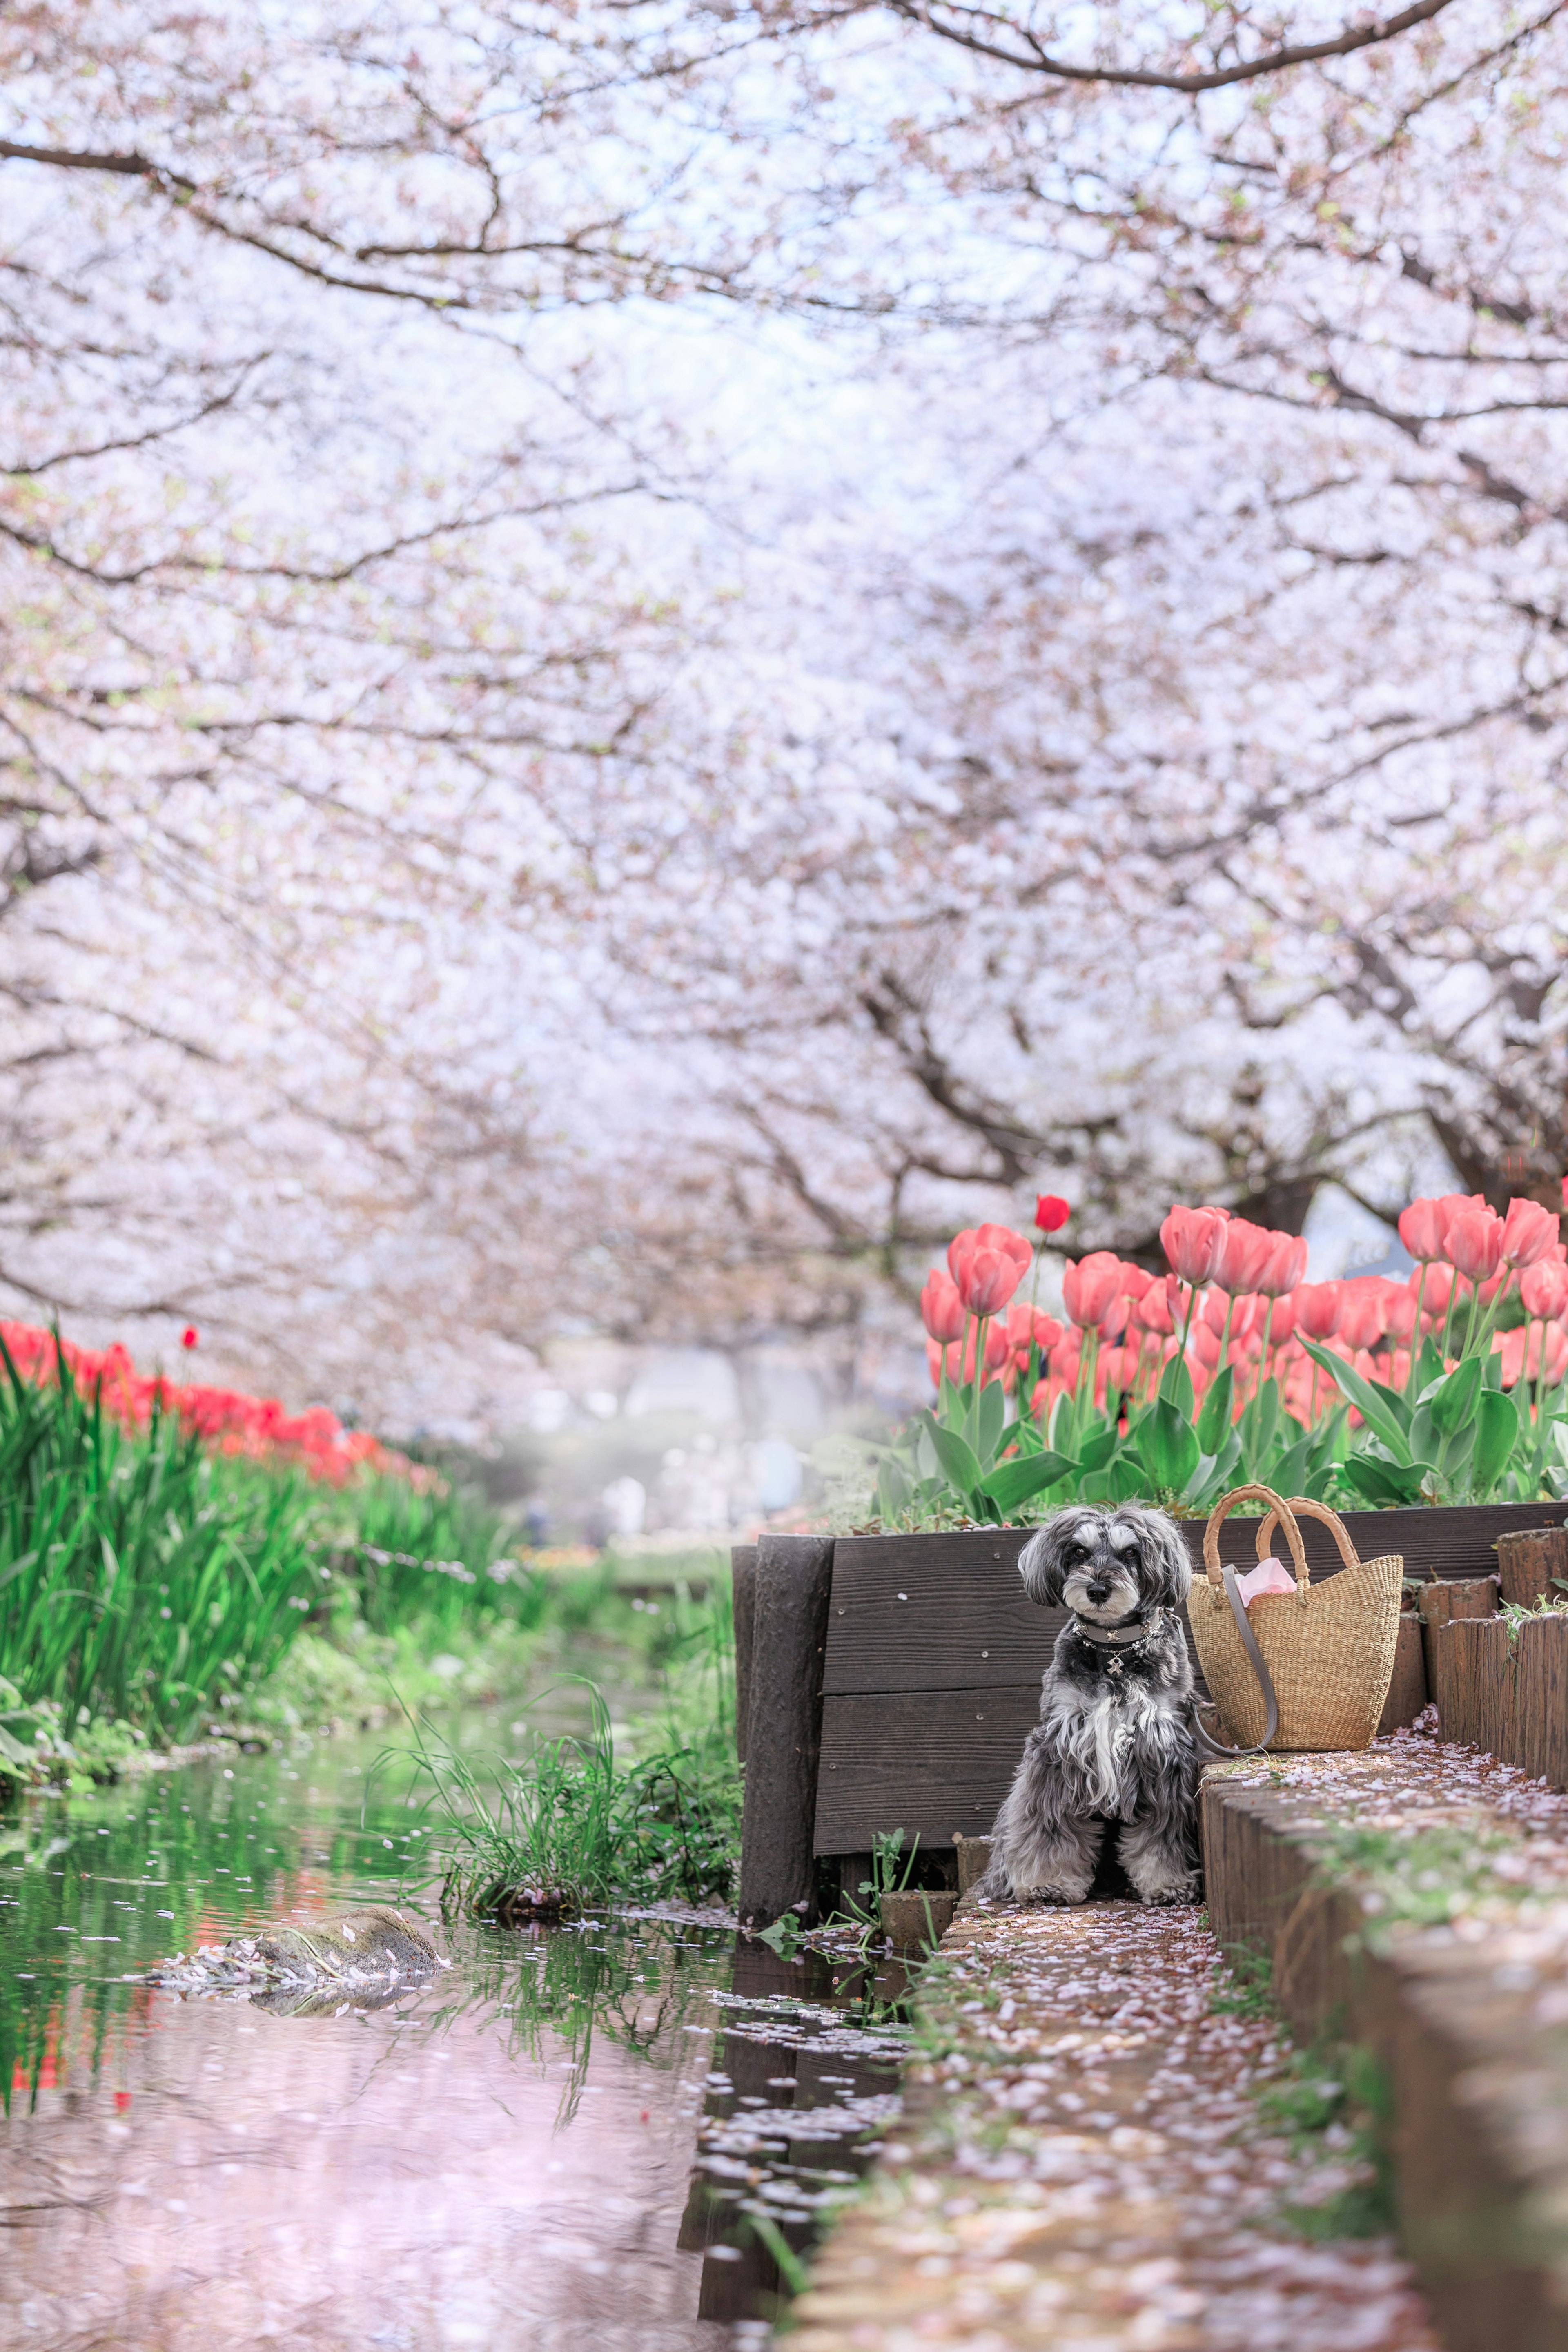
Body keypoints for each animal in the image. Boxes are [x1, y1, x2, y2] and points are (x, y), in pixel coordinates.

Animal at [982, 1505, 1203, 1910]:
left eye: (1131, 1552)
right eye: (1079, 1551)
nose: (1098, 1589)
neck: (1114, 1646)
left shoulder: (1162, 1749)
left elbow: (1163, 1831)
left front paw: (1169, 1884)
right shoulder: (1059, 1746)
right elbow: (1048, 1825)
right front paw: (1049, 1883)